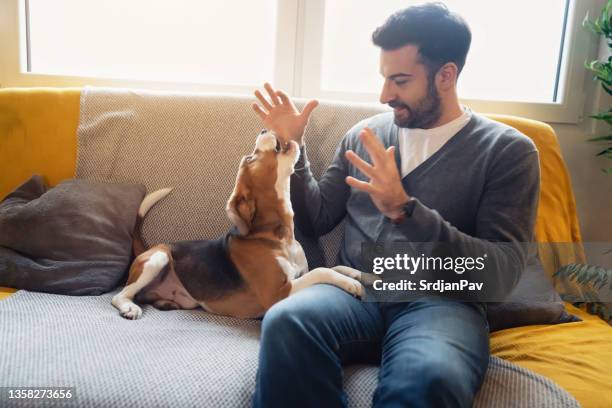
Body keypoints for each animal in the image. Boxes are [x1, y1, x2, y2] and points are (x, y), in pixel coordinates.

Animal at [111, 130, 364, 318]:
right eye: (250, 158)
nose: (263, 129)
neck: (278, 237)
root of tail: (151, 247)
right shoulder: (277, 294)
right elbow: (322, 271)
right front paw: (350, 283)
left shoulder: (300, 272)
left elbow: (332, 267)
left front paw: (355, 272)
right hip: (158, 259)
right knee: (120, 295)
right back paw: (129, 307)